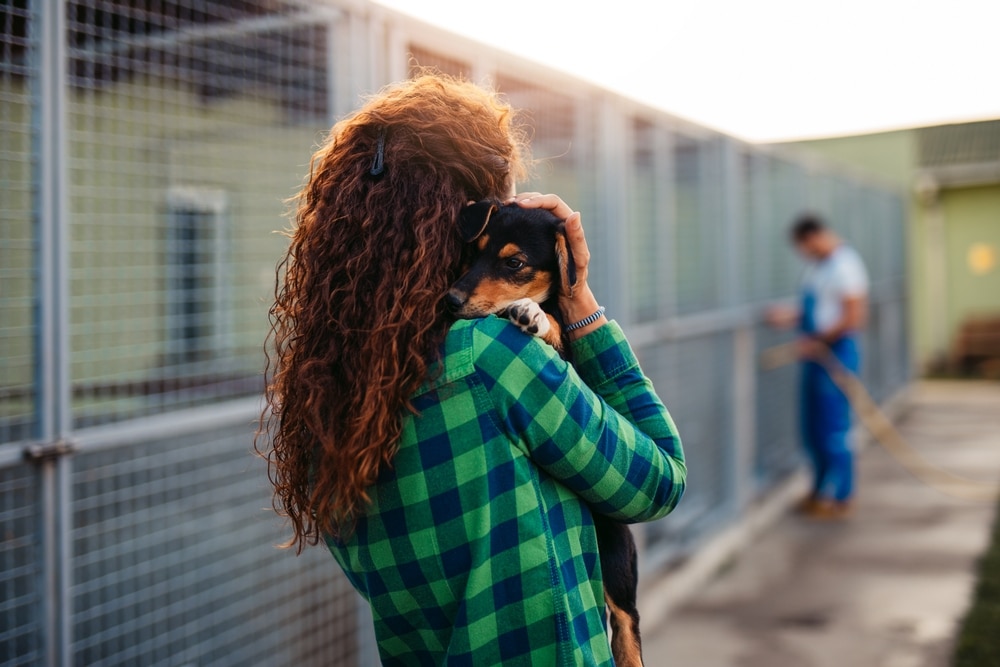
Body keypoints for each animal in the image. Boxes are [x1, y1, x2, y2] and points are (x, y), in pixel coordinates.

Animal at [448, 201, 648, 667]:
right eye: (473, 253)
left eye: (514, 263)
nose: (451, 299)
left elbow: (557, 325)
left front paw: (535, 314)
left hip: (616, 557)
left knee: (627, 628)